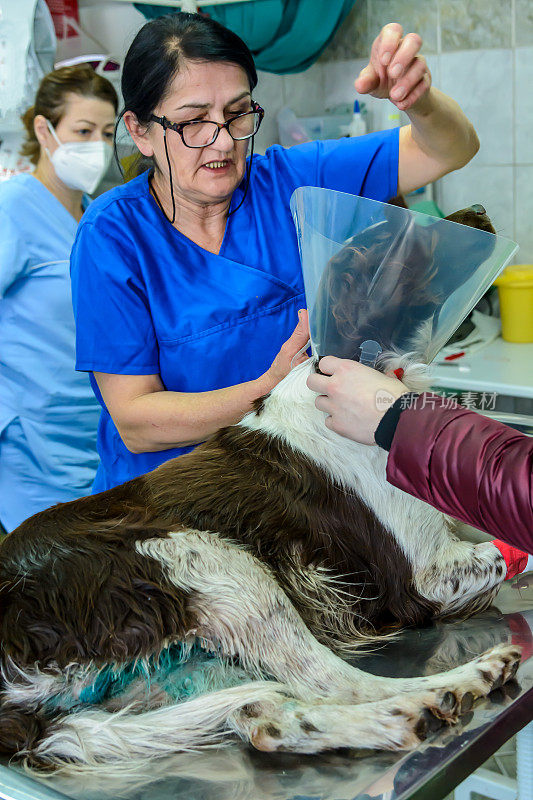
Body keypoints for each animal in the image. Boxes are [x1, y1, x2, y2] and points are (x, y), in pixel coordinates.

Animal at [0, 203, 520, 772]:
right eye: (408, 231)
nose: (481, 211)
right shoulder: (424, 579)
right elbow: (500, 553)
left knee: (266, 713)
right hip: (207, 559)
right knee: (335, 681)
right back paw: (449, 688)